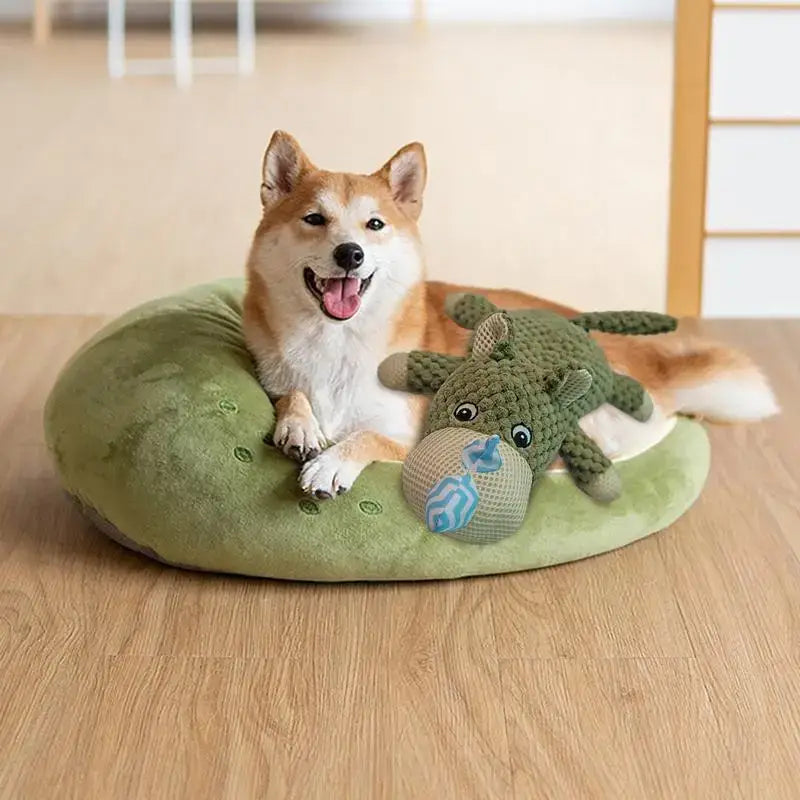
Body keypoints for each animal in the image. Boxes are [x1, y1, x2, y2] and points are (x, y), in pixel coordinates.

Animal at [242, 129, 776, 496]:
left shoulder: (408, 432)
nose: (350, 253)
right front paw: (299, 424)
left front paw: (332, 463)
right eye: (315, 219)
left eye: (374, 225)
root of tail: (657, 365)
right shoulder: (280, 376)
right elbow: (291, 395)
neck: (338, 343)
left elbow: (366, 438)